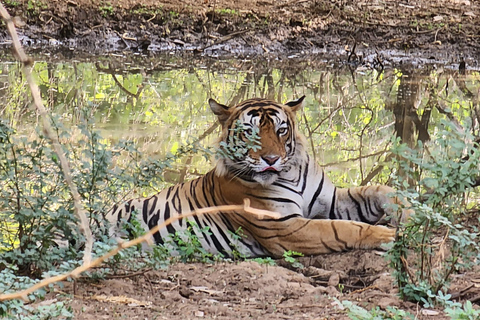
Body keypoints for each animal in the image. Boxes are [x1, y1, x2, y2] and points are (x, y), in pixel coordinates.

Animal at [105, 96, 408, 258]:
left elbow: (376, 190)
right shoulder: (284, 226)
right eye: (249, 132)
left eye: (281, 130)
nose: (271, 159)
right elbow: (342, 229)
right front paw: (388, 235)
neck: (291, 173)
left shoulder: (331, 200)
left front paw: (409, 210)